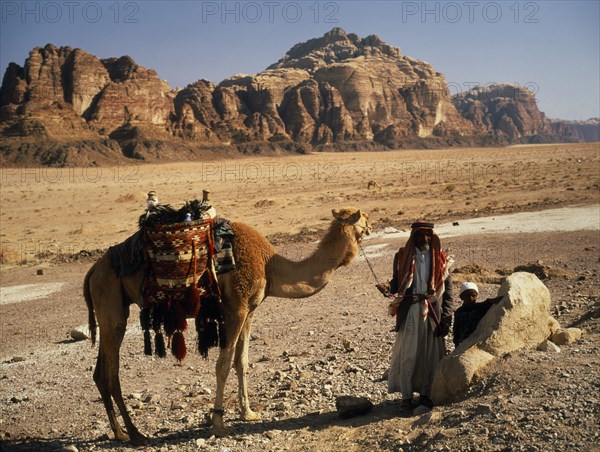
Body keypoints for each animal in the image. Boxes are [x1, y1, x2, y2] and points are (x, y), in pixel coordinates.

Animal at [83, 207, 370, 444]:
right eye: (364, 219)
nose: (370, 226)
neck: (270, 265)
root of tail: (93, 270)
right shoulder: (236, 308)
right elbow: (223, 364)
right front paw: (219, 424)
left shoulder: (250, 310)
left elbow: (241, 361)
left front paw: (248, 412)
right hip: (110, 300)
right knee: (112, 374)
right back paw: (135, 434)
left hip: (110, 309)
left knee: (100, 372)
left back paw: (119, 433)